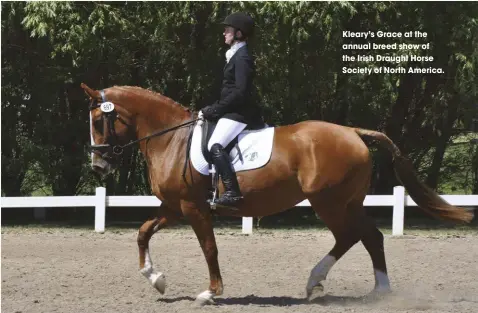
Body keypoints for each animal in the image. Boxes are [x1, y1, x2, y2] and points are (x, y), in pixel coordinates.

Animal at [80, 83, 472, 304]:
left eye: (99, 121)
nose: (98, 167)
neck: (171, 139)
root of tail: (353, 132)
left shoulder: (193, 208)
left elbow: (209, 248)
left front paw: (211, 293)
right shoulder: (174, 207)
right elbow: (143, 232)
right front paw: (157, 280)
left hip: (329, 202)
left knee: (352, 236)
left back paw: (322, 282)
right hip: (347, 202)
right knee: (370, 237)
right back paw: (376, 290)